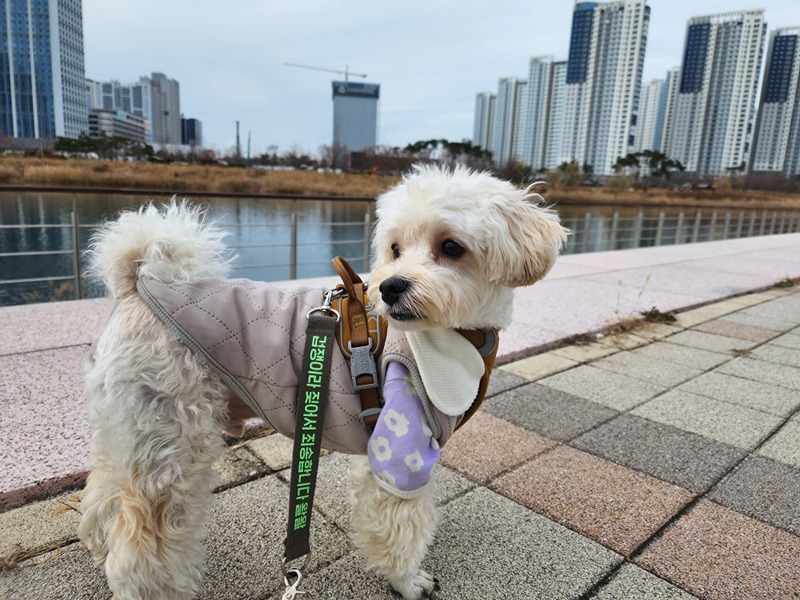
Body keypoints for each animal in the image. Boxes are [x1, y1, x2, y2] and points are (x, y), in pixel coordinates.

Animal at [76, 162, 568, 596]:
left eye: (451, 248)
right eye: (395, 248)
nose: (390, 287)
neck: (458, 334)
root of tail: (136, 285)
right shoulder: (400, 448)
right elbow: (400, 525)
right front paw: (408, 581)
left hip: (130, 428)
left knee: (102, 497)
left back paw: (98, 548)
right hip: (172, 439)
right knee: (142, 543)